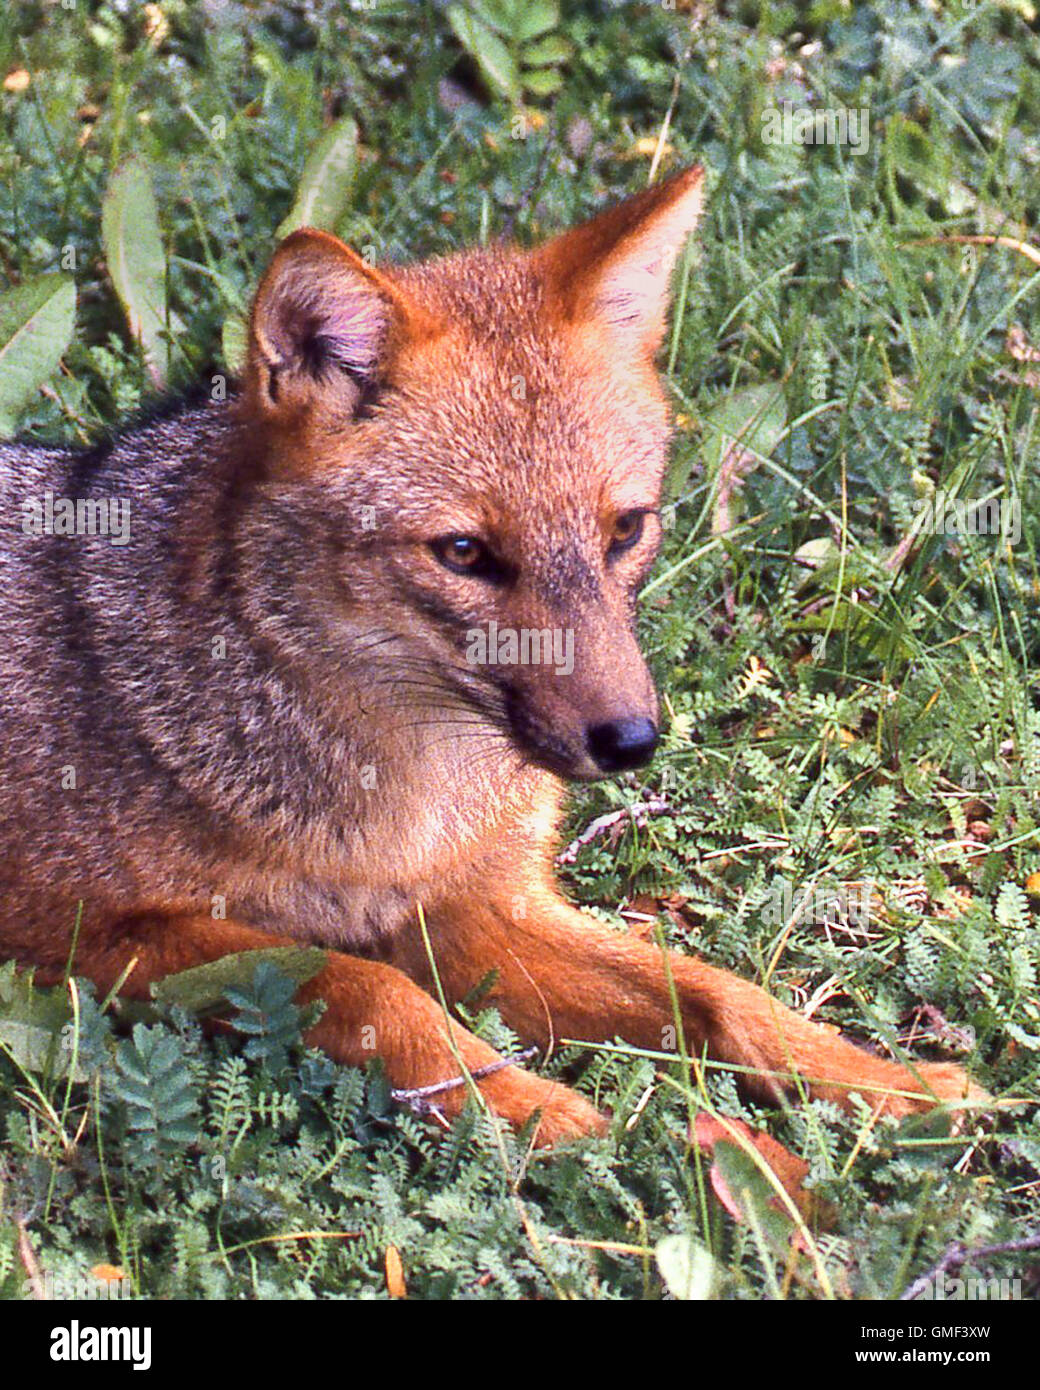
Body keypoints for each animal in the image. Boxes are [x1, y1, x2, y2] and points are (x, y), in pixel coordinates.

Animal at [0, 167, 986, 1144]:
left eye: (626, 530)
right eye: (466, 553)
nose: (632, 741)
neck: (404, 816)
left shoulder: (481, 909)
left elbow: (715, 991)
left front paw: (887, 1083)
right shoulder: (76, 935)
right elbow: (367, 986)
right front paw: (542, 1115)